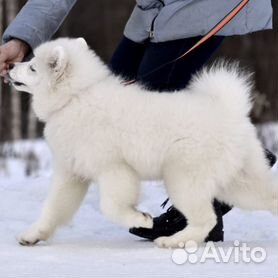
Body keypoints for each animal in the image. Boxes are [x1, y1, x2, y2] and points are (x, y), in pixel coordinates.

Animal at [7, 37, 276, 248]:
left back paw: (173, 241)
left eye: (32, 68)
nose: (10, 65)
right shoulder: (71, 174)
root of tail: (229, 110)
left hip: (183, 177)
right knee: (268, 197)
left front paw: (141, 219)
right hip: (238, 182)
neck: (74, 98)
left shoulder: (114, 170)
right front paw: (32, 235)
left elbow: (111, 206)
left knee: (205, 219)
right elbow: (52, 209)